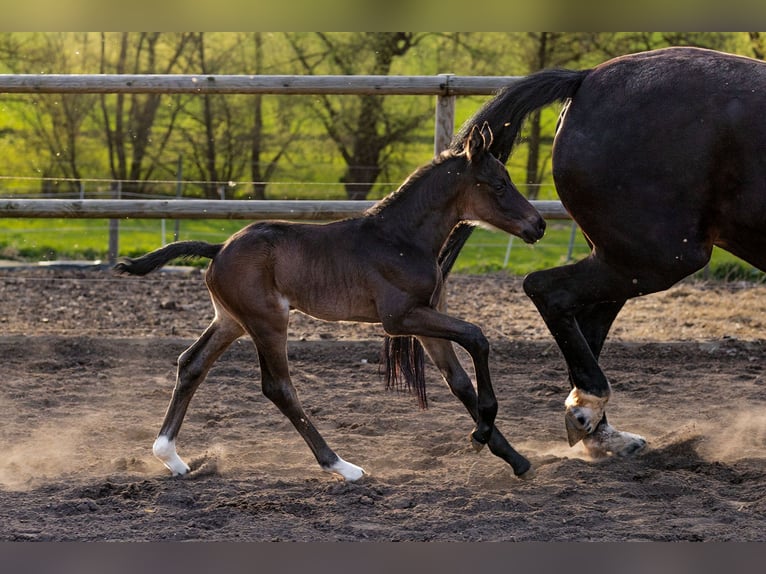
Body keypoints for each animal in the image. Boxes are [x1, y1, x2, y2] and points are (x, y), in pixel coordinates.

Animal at [114, 124, 544, 484]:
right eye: (499, 184)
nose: (538, 225)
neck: (401, 239)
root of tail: (218, 247)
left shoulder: (424, 317)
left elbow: (459, 382)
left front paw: (514, 457)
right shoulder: (400, 318)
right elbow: (477, 336)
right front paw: (481, 432)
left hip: (231, 320)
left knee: (192, 364)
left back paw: (170, 457)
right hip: (268, 321)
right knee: (278, 387)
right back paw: (342, 466)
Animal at [400, 47, 764, 464]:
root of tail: (586, 79)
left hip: (626, 258)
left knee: (584, 321)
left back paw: (601, 431)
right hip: (659, 257)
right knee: (547, 291)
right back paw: (588, 409)